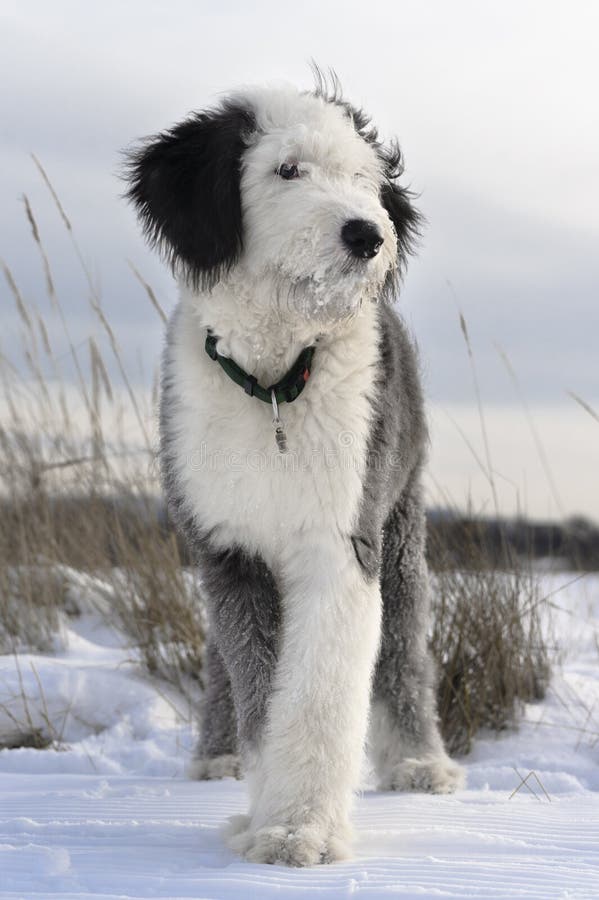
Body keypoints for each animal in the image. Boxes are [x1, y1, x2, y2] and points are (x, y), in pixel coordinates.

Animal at [125, 68, 464, 864]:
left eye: (363, 179)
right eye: (287, 170)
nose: (368, 234)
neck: (275, 380)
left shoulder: (340, 539)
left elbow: (316, 695)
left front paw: (297, 829)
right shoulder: (228, 547)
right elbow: (254, 686)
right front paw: (263, 801)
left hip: (401, 524)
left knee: (403, 649)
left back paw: (419, 763)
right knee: (218, 658)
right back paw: (215, 756)